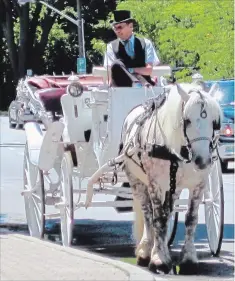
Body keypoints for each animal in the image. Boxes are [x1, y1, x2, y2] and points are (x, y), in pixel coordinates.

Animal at [119, 82, 222, 274]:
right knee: (148, 214)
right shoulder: (155, 183)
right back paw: (146, 251)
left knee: (167, 213)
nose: (203, 160)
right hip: (136, 181)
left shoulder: (198, 184)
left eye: (214, 122)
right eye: (187, 120)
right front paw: (159, 260)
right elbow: (158, 218)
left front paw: (188, 258)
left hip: (174, 187)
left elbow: (191, 218)